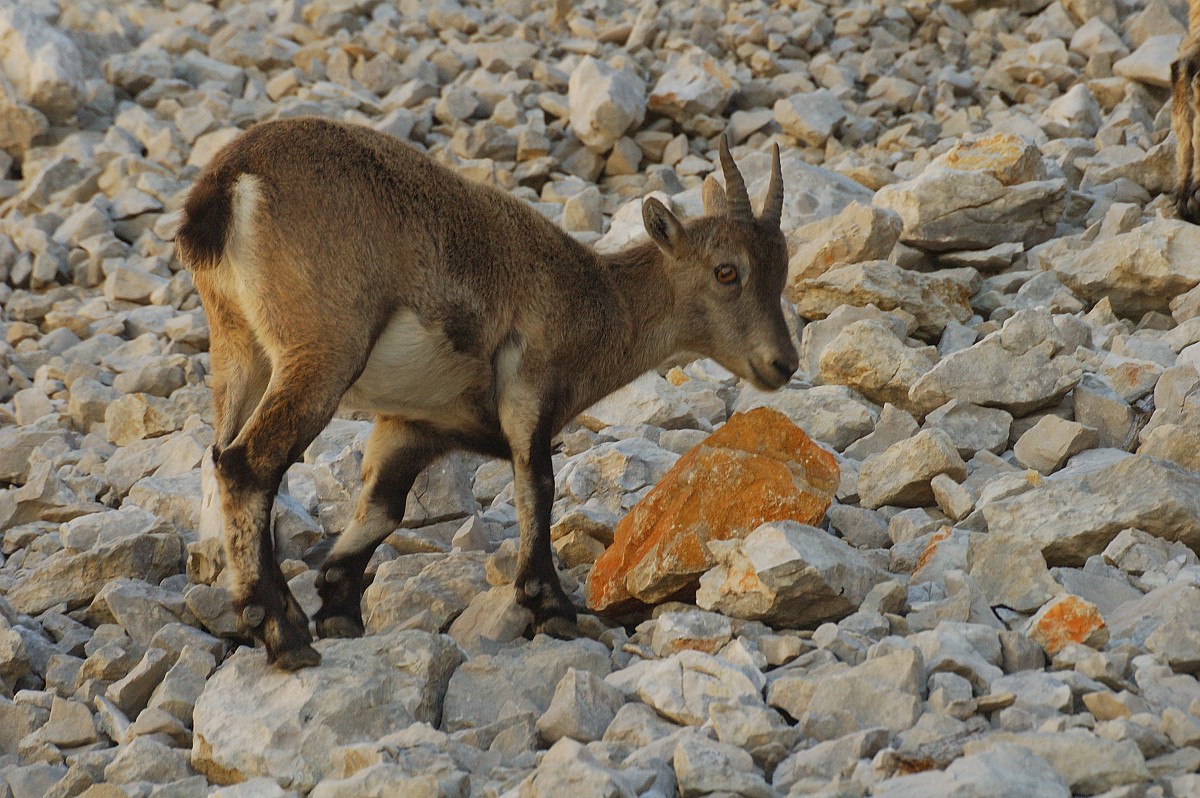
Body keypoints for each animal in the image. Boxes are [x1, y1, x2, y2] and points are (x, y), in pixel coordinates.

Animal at [175, 116, 797, 670]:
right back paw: (282, 635)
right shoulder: (530, 384)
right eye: (726, 271)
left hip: (239, 347)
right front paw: (551, 605)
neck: (601, 302)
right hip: (321, 348)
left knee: (218, 456)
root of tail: (229, 182)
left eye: (782, 270)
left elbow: (383, 509)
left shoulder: (411, 424)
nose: (783, 363)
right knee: (248, 465)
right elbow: (536, 484)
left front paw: (339, 607)